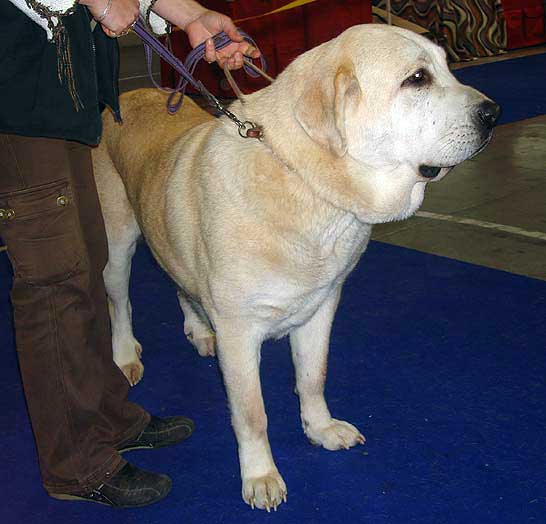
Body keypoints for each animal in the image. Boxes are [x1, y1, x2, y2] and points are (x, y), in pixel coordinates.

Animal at [93, 24, 498, 512]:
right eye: (417, 79)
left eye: (445, 66)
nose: (493, 114)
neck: (309, 185)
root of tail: (123, 97)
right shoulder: (240, 333)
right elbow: (253, 415)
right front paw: (261, 477)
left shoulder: (320, 308)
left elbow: (312, 377)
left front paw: (321, 429)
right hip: (117, 244)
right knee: (119, 302)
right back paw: (125, 357)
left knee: (178, 283)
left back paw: (200, 332)